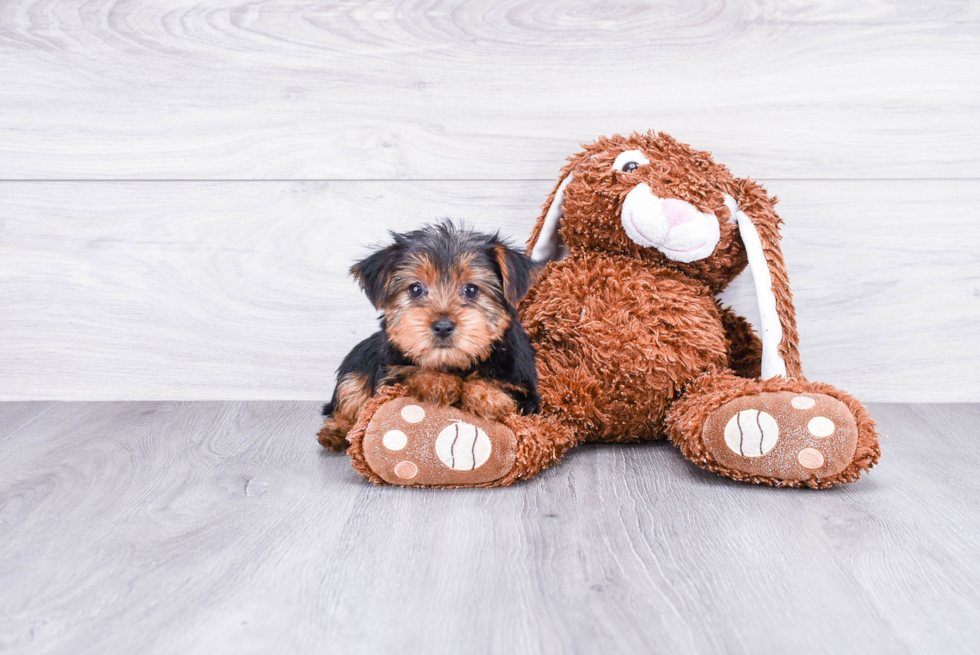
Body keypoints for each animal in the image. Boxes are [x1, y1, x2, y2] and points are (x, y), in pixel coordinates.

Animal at [318, 220, 540, 452]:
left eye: (471, 290)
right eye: (415, 289)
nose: (442, 326)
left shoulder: (525, 388)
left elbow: (504, 386)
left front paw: (487, 396)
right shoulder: (389, 376)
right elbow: (409, 370)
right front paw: (438, 382)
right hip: (355, 367)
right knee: (348, 395)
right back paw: (335, 431)